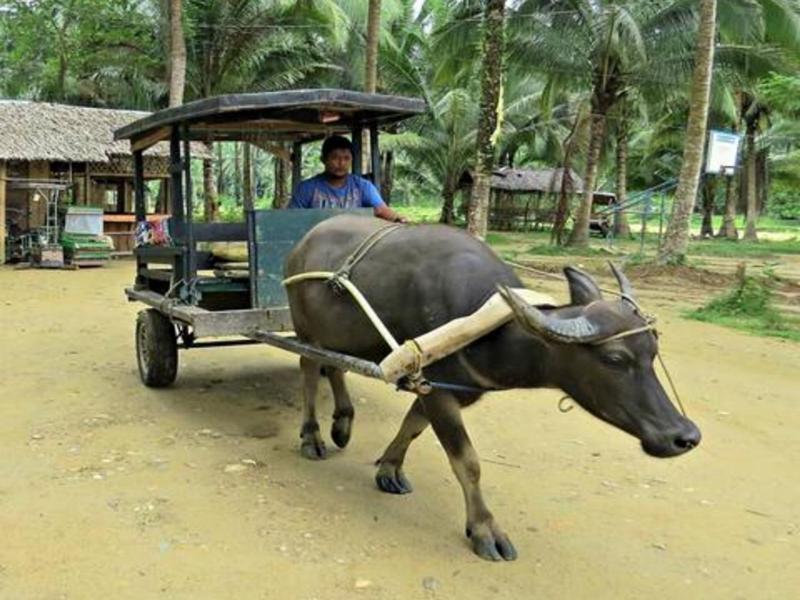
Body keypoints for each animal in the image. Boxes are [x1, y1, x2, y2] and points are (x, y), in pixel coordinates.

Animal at [284, 216, 696, 564]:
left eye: (653, 349)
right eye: (614, 358)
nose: (685, 436)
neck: (486, 328)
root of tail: (303, 243)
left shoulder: (437, 385)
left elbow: (412, 427)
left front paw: (389, 469)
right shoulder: (438, 391)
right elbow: (468, 462)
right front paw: (485, 530)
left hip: (337, 337)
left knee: (335, 367)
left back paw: (343, 423)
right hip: (305, 332)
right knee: (309, 371)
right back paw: (312, 437)